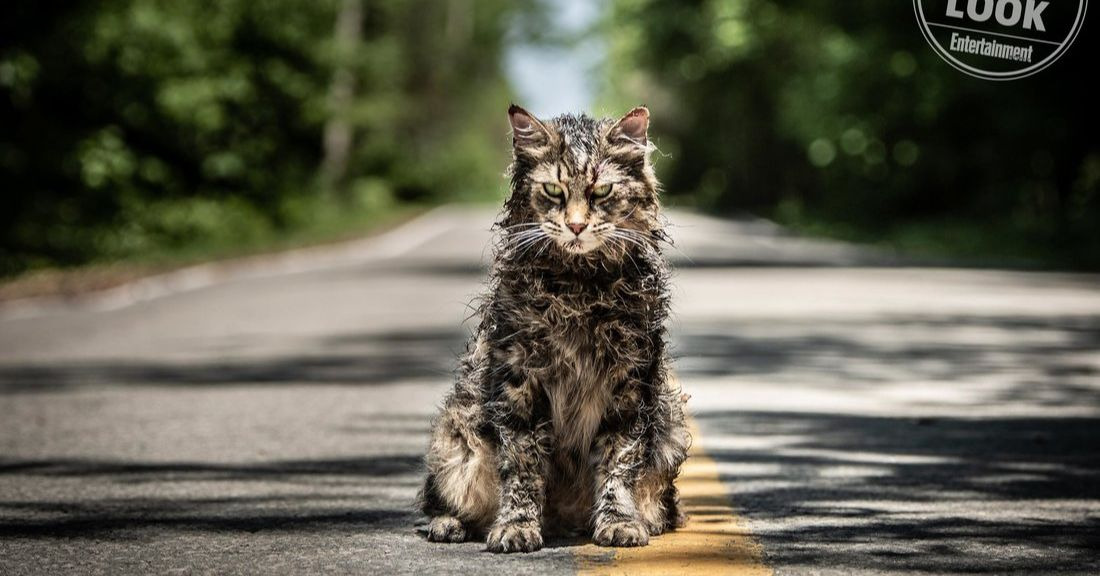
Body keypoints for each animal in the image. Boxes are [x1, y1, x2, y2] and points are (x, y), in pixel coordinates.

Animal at [418, 104, 686, 554]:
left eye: (601, 192)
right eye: (554, 191)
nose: (576, 226)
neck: (578, 289)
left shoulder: (630, 384)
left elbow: (618, 462)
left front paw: (618, 522)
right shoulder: (519, 382)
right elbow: (523, 465)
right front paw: (517, 527)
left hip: (671, 433)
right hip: (457, 436)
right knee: (441, 499)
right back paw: (449, 524)